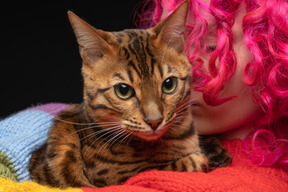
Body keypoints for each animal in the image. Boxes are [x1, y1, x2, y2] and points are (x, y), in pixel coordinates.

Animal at [28, 0, 232, 188]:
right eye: (123, 90)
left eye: (169, 84)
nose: (154, 122)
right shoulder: (112, 175)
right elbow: (155, 169)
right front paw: (196, 159)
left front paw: (215, 150)